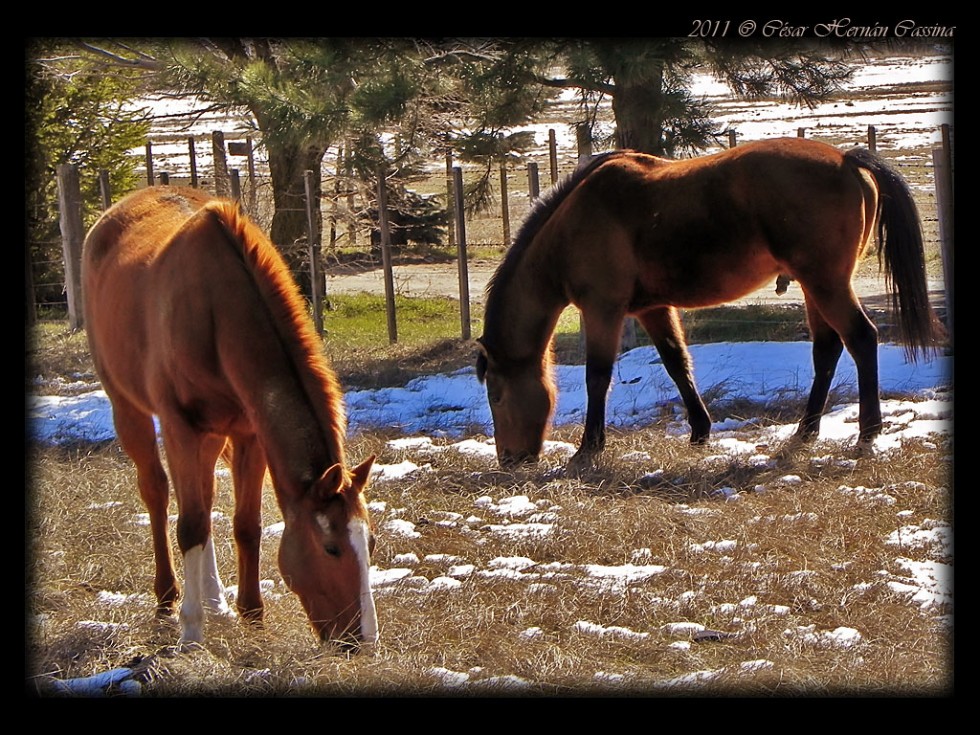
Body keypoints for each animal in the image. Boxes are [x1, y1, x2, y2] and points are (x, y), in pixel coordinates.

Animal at [83, 185, 378, 648]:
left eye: (370, 542)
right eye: (331, 547)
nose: (363, 640)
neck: (218, 312)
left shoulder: (249, 433)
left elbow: (245, 524)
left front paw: (252, 615)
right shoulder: (180, 427)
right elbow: (190, 524)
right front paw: (191, 629)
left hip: (212, 434)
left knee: (204, 500)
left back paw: (215, 599)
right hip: (128, 408)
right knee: (158, 493)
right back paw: (168, 598)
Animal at [478, 138, 944, 468]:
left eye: (496, 396)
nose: (510, 460)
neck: (573, 223)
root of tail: (847, 159)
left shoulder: (602, 309)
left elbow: (598, 377)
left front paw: (589, 447)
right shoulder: (651, 309)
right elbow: (676, 364)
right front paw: (700, 431)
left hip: (827, 284)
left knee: (861, 339)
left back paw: (868, 432)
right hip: (817, 287)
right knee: (827, 350)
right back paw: (805, 431)